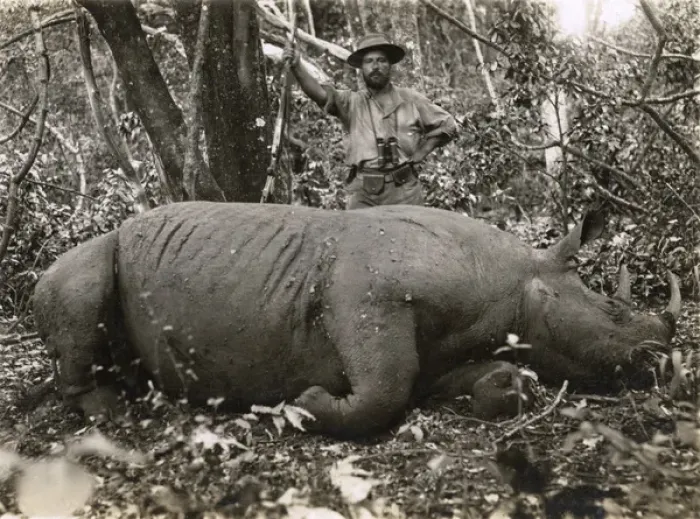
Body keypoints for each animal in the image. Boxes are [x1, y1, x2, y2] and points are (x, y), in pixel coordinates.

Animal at [33, 202, 681, 437]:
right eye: (613, 309)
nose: (661, 363)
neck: (519, 280)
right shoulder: (363, 298)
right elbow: (384, 389)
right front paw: (306, 404)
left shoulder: (442, 350)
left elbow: (456, 382)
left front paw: (506, 385)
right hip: (79, 263)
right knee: (81, 282)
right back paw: (116, 412)